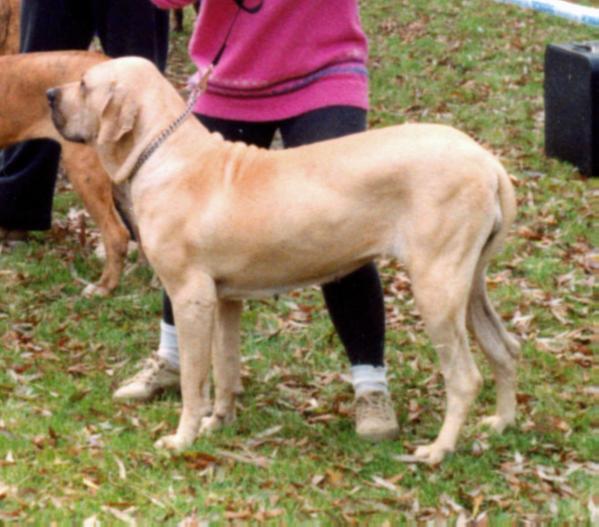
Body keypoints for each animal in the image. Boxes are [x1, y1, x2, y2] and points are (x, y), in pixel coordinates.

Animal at [49, 55, 524, 464]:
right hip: (468, 287)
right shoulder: (223, 300)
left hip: (436, 290)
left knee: (465, 377)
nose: (51, 93)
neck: (164, 151)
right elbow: (225, 367)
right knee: (504, 348)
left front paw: (182, 438)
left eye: (85, 84)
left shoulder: (190, 297)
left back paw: (438, 450)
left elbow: (194, 379)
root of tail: (487, 161)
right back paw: (501, 422)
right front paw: (218, 422)